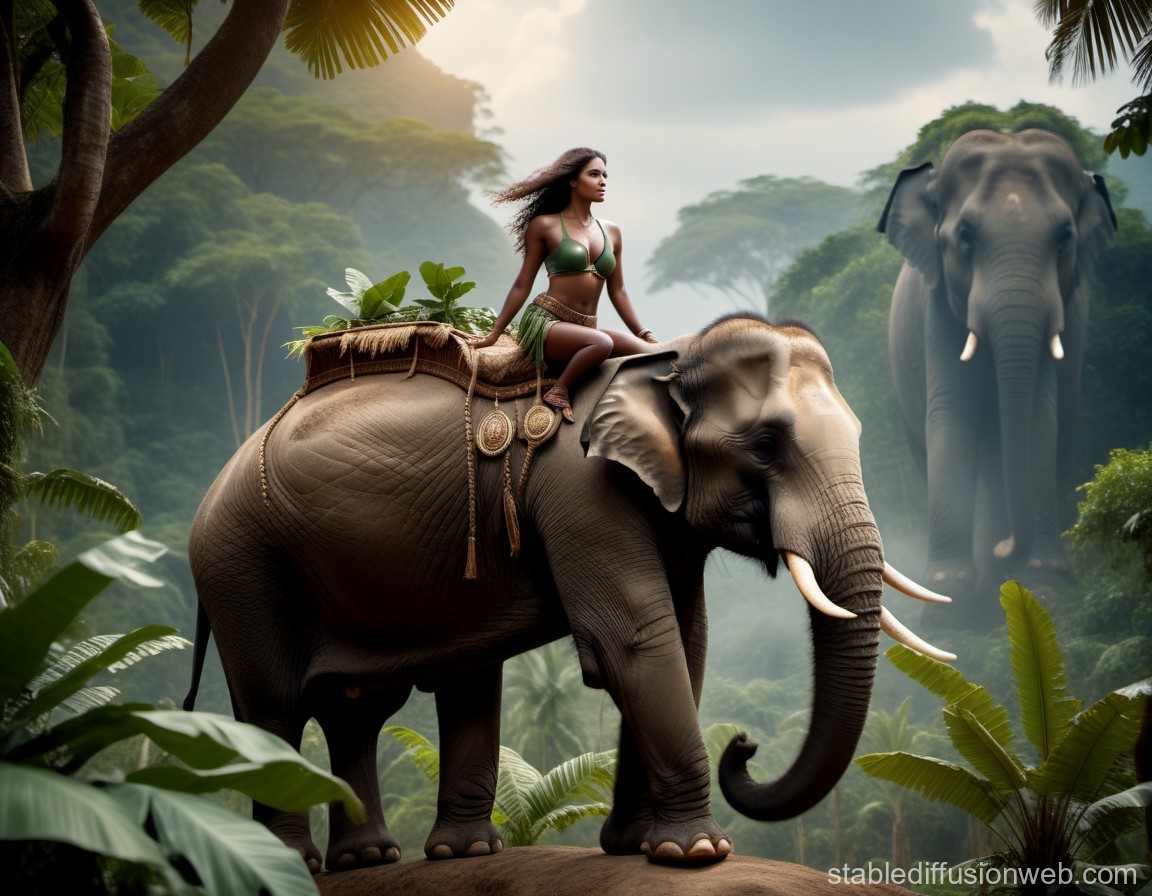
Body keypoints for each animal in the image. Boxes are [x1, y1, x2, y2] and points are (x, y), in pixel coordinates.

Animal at [183, 314, 952, 873]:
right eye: (764, 445)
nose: (746, 744)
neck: (671, 356)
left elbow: (686, 641)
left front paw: (641, 848)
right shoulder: (583, 494)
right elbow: (633, 640)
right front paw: (698, 854)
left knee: (368, 709)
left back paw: (415, 856)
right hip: (244, 567)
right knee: (274, 709)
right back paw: (300, 864)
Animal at [879, 129, 1116, 622]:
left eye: (1064, 238)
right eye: (965, 238)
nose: (1006, 548)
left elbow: (1040, 419)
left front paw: (1046, 586)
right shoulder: (937, 310)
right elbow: (952, 414)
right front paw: (948, 604)